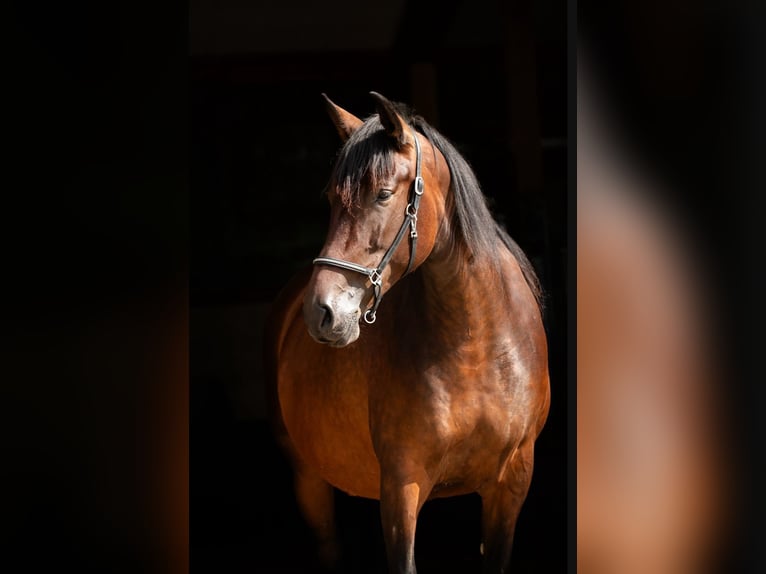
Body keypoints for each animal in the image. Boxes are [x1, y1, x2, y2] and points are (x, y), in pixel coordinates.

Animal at [263, 91, 550, 573]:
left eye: (382, 194)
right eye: (331, 198)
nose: (321, 312)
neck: (476, 346)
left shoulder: (511, 483)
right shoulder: (402, 485)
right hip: (309, 477)